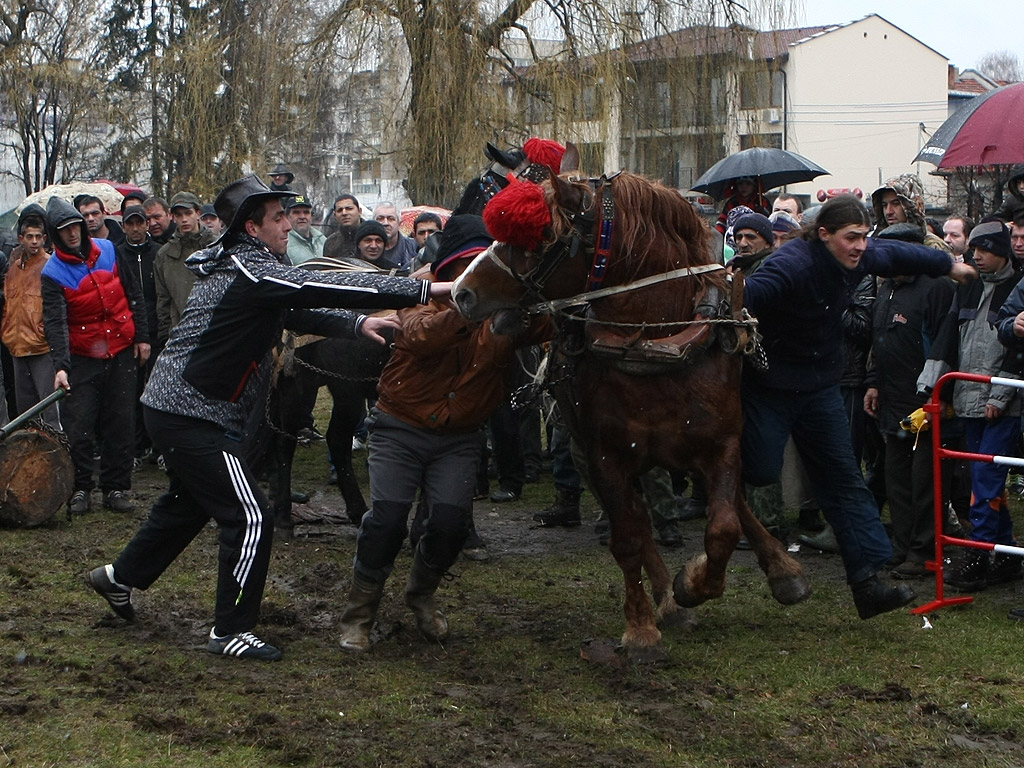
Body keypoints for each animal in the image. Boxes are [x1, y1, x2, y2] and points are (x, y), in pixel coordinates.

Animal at [452, 153, 811, 659]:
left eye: (540, 237)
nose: (461, 291)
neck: (655, 342)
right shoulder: (607, 455)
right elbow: (627, 538)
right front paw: (644, 624)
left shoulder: (722, 443)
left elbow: (723, 525)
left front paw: (695, 583)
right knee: (639, 523)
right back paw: (669, 602)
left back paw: (781, 572)